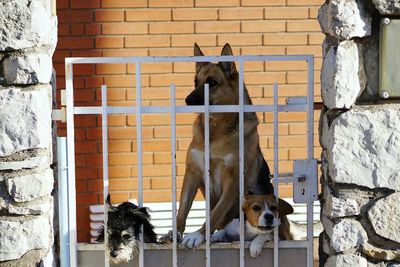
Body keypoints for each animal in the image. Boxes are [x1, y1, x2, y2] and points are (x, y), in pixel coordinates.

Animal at [161, 43, 274, 249]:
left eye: (211, 83)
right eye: (195, 81)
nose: (187, 101)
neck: (215, 130)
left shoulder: (232, 182)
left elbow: (215, 214)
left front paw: (197, 235)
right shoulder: (192, 173)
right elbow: (182, 210)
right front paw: (176, 233)